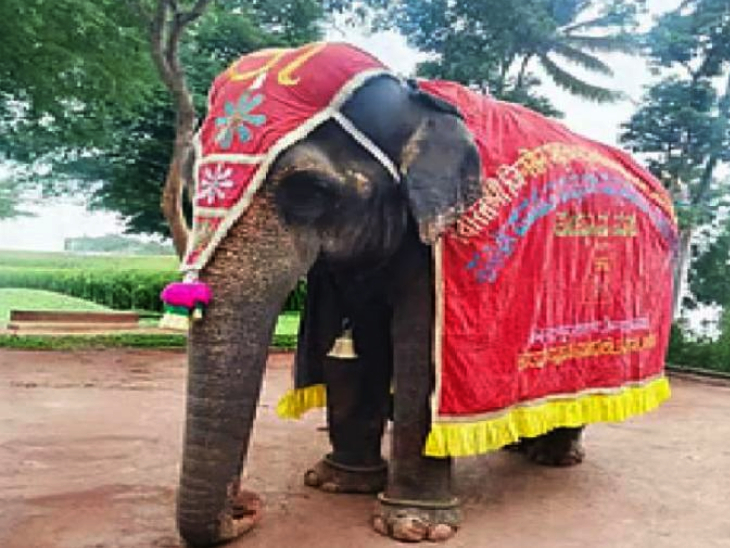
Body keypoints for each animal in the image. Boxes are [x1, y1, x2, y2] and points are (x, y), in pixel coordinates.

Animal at [171, 43, 674, 546]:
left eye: (309, 190)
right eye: (191, 187)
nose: (245, 506)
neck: (417, 101)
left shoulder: (440, 253)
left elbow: (422, 354)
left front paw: (413, 526)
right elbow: (355, 346)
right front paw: (338, 484)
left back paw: (553, 458)